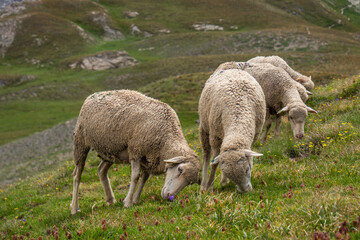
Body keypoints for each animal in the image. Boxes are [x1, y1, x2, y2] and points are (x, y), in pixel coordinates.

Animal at [70, 89, 202, 214]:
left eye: (190, 182)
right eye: (180, 170)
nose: (169, 197)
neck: (166, 138)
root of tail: (94, 95)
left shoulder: (150, 158)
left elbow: (144, 178)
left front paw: (135, 199)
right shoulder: (136, 151)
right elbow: (135, 176)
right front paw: (128, 202)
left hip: (110, 151)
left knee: (101, 170)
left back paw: (110, 199)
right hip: (80, 142)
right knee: (77, 175)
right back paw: (74, 208)